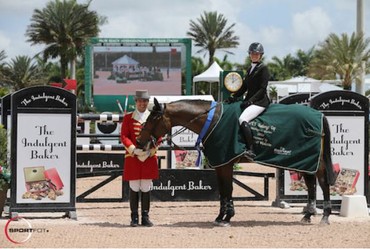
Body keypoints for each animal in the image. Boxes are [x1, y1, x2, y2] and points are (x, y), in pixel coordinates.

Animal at [137, 98, 336, 227]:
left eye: (153, 118)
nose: (139, 141)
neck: (212, 120)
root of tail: (319, 114)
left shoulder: (226, 162)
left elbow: (228, 189)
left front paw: (227, 218)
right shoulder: (220, 164)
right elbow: (223, 191)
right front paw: (221, 217)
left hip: (312, 161)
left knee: (323, 182)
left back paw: (325, 216)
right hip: (303, 160)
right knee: (310, 184)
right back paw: (308, 215)